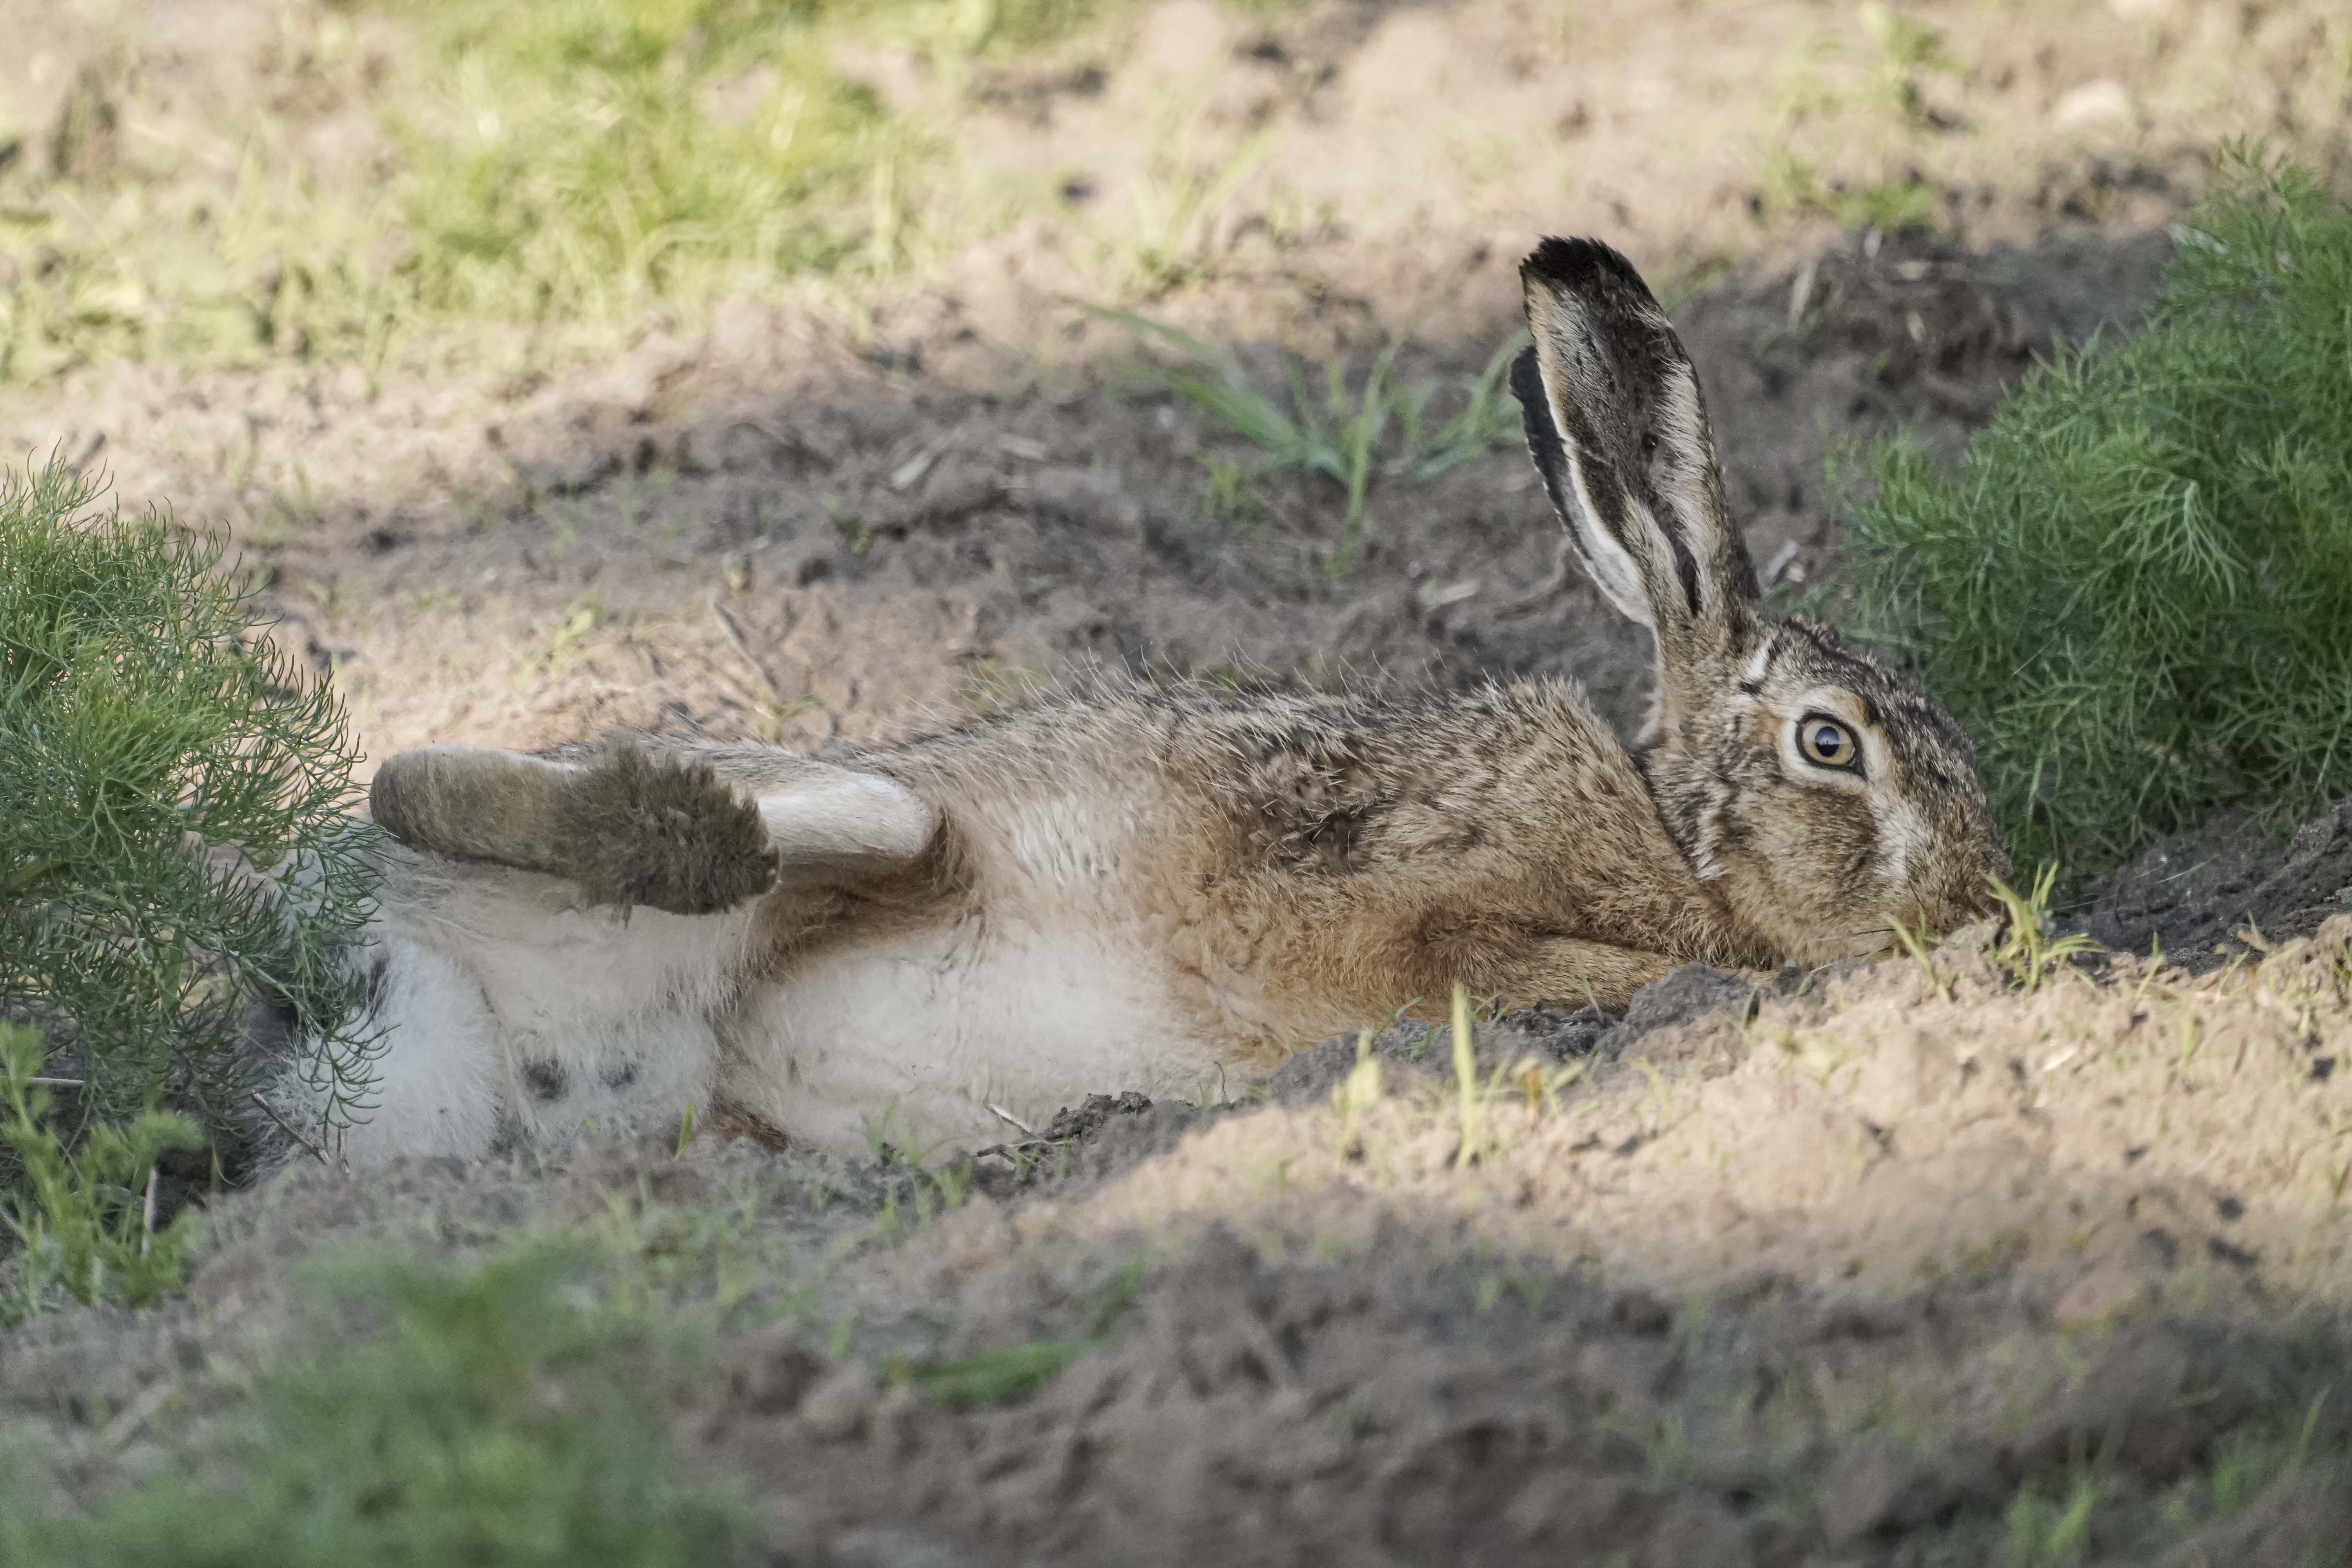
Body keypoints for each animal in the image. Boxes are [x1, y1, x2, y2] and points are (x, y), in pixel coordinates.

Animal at [255, 236, 2010, 1170]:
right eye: (1833, 743)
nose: (1984, 901)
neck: (1673, 839)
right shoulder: (1432, 893)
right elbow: (1511, 958)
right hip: (899, 815)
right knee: (469, 787)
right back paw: (622, 817)